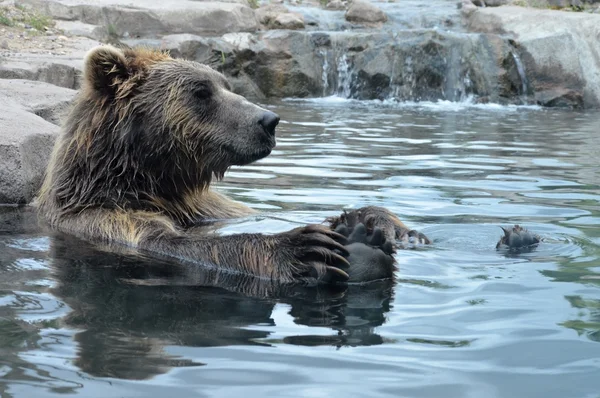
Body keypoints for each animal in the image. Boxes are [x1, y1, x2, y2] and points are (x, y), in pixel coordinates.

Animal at [36, 45, 432, 284]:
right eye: (200, 91)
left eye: (225, 83)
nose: (268, 120)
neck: (158, 182)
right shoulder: (106, 217)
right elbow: (174, 242)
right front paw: (306, 248)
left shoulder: (211, 208)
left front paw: (383, 226)